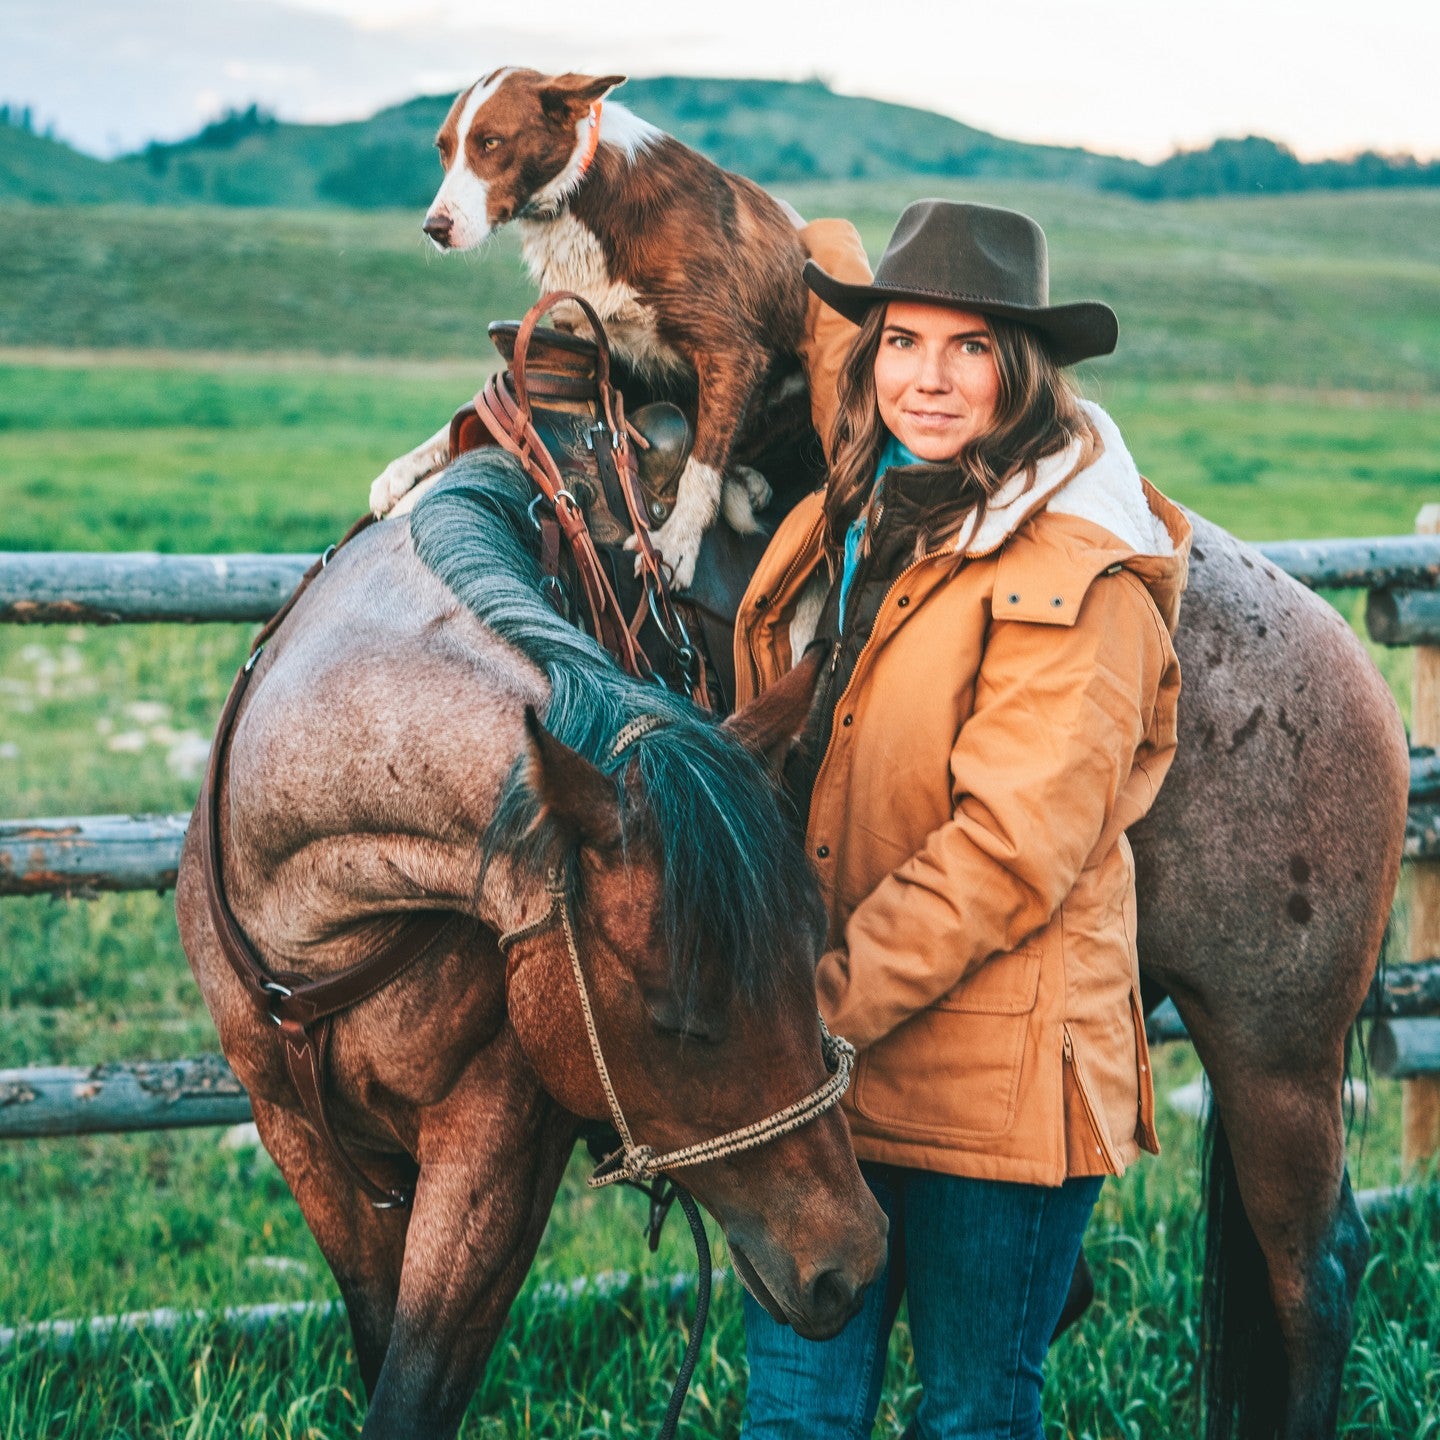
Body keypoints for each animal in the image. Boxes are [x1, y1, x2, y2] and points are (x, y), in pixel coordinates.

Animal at [168, 452, 887, 1440]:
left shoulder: (493, 1155)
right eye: (676, 1020)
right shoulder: (304, 1144)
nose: (850, 1261)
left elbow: (415, 1384)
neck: (316, 917)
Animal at [371, 70, 812, 587]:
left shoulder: (731, 351)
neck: (579, 196)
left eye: (491, 142)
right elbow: (503, 403)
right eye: (443, 150)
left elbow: (701, 466)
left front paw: (677, 544)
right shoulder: (585, 344)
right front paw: (405, 467)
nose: (434, 227)